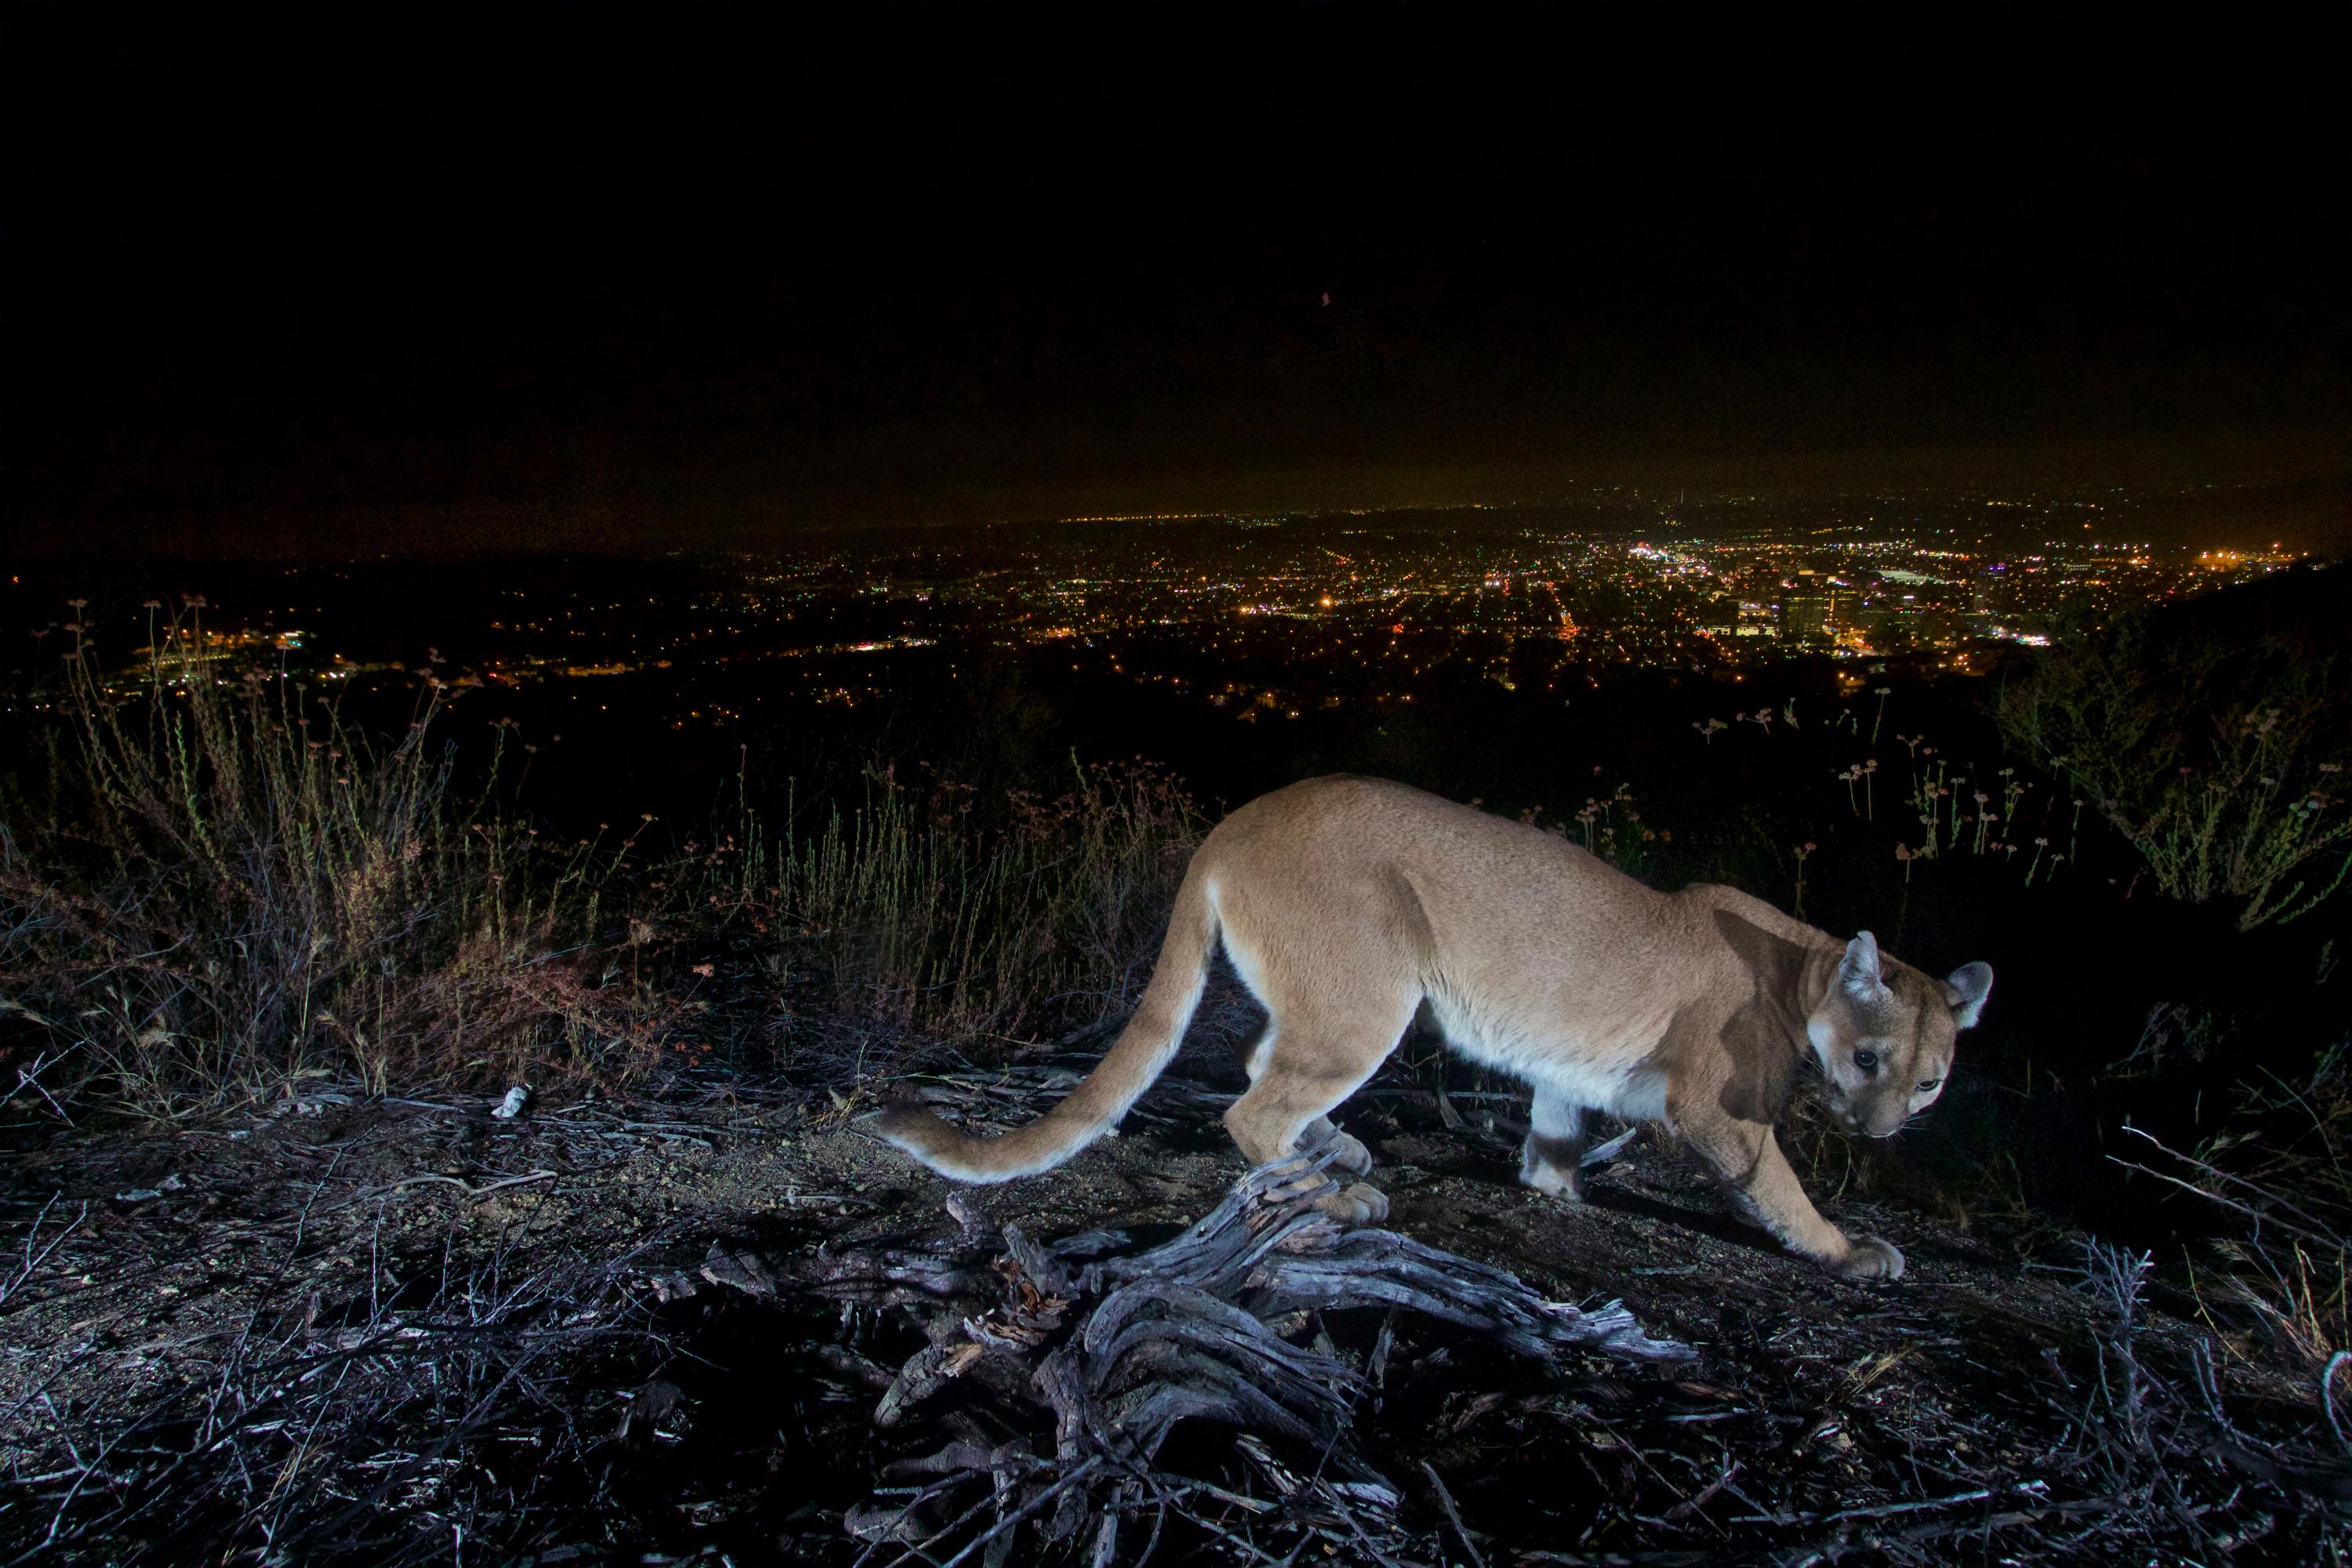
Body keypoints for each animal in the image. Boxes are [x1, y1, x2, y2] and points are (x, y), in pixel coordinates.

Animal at [875, 771, 1994, 1279]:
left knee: (1260, 1060)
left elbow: (1554, 1129)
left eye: (1929, 1078)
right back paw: (1333, 1190)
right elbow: (1778, 1184)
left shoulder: (1568, 1067)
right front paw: (1848, 1249)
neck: (1803, 965)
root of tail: (1235, 819)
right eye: (1869, 1057)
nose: (1884, 1128)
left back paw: (1338, 1149)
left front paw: (1556, 1188)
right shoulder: (1718, 1107)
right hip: (1375, 991)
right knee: (1253, 1104)